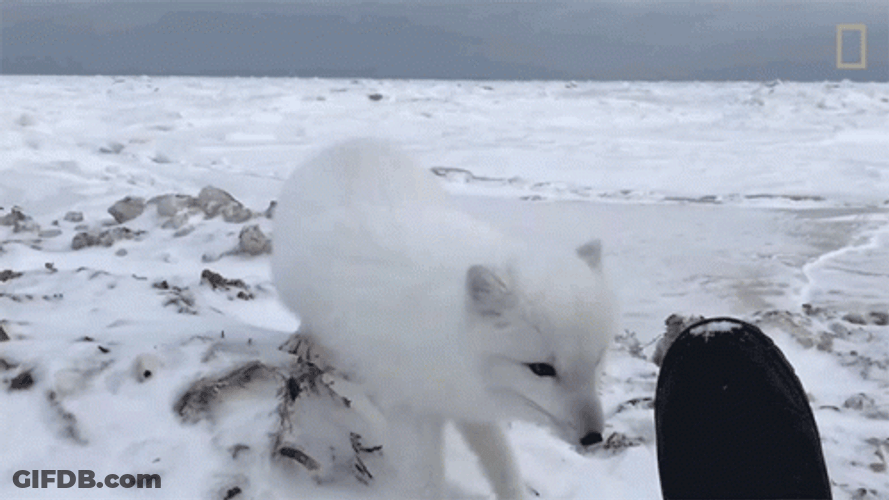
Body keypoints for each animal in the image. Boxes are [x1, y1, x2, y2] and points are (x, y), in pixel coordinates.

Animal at [271, 139, 617, 499]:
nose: (593, 437)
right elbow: (426, 480)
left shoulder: (468, 402)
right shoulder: (412, 410)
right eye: (541, 369)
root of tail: (355, 143)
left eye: (596, 360)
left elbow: (502, 460)